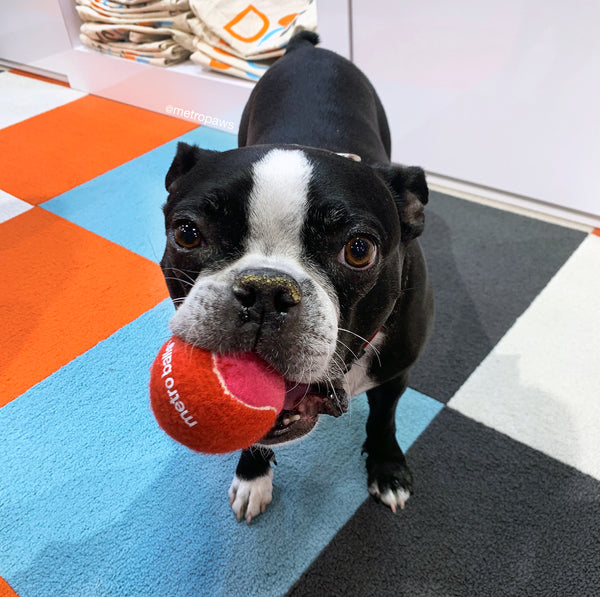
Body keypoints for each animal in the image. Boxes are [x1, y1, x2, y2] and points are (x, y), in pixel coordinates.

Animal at [159, 32, 432, 520]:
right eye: (187, 233)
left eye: (359, 250)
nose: (265, 291)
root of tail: (306, 48)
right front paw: (252, 476)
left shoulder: (396, 373)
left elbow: (384, 418)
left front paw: (387, 469)